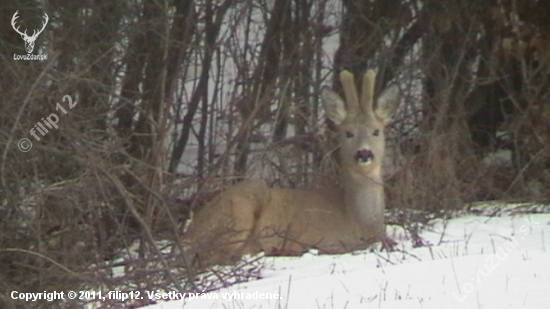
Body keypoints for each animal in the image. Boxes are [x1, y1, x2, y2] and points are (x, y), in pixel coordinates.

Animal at [185, 70, 402, 264]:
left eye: (376, 131)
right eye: (348, 132)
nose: (364, 153)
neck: (358, 222)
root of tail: (190, 232)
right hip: (241, 207)